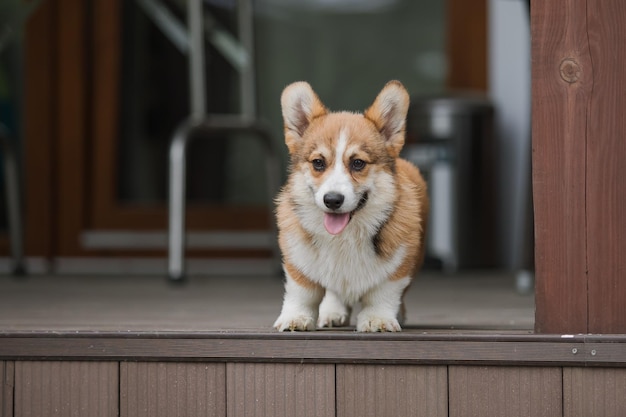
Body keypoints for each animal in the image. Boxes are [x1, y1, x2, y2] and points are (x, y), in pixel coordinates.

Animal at [274, 80, 428, 332]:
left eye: (357, 163)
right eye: (318, 163)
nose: (332, 200)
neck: (345, 236)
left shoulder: (399, 265)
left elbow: (382, 294)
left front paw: (378, 319)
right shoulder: (298, 257)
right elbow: (303, 292)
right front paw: (296, 318)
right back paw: (332, 312)